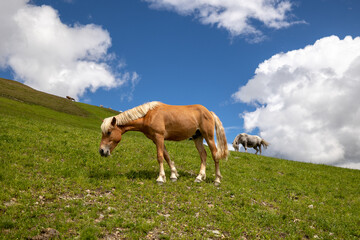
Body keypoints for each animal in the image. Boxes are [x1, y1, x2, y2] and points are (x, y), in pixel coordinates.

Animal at [98, 101, 228, 186]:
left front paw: (160, 178)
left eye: (108, 132)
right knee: (203, 155)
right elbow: (166, 156)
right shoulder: (157, 140)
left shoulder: (159, 136)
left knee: (215, 155)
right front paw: (173, 175)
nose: (102, 151)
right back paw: (200, 177)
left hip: (209, 137)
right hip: (198, 138)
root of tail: (209, 112)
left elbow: (160, 157)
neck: (148, 115)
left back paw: (217, 180)